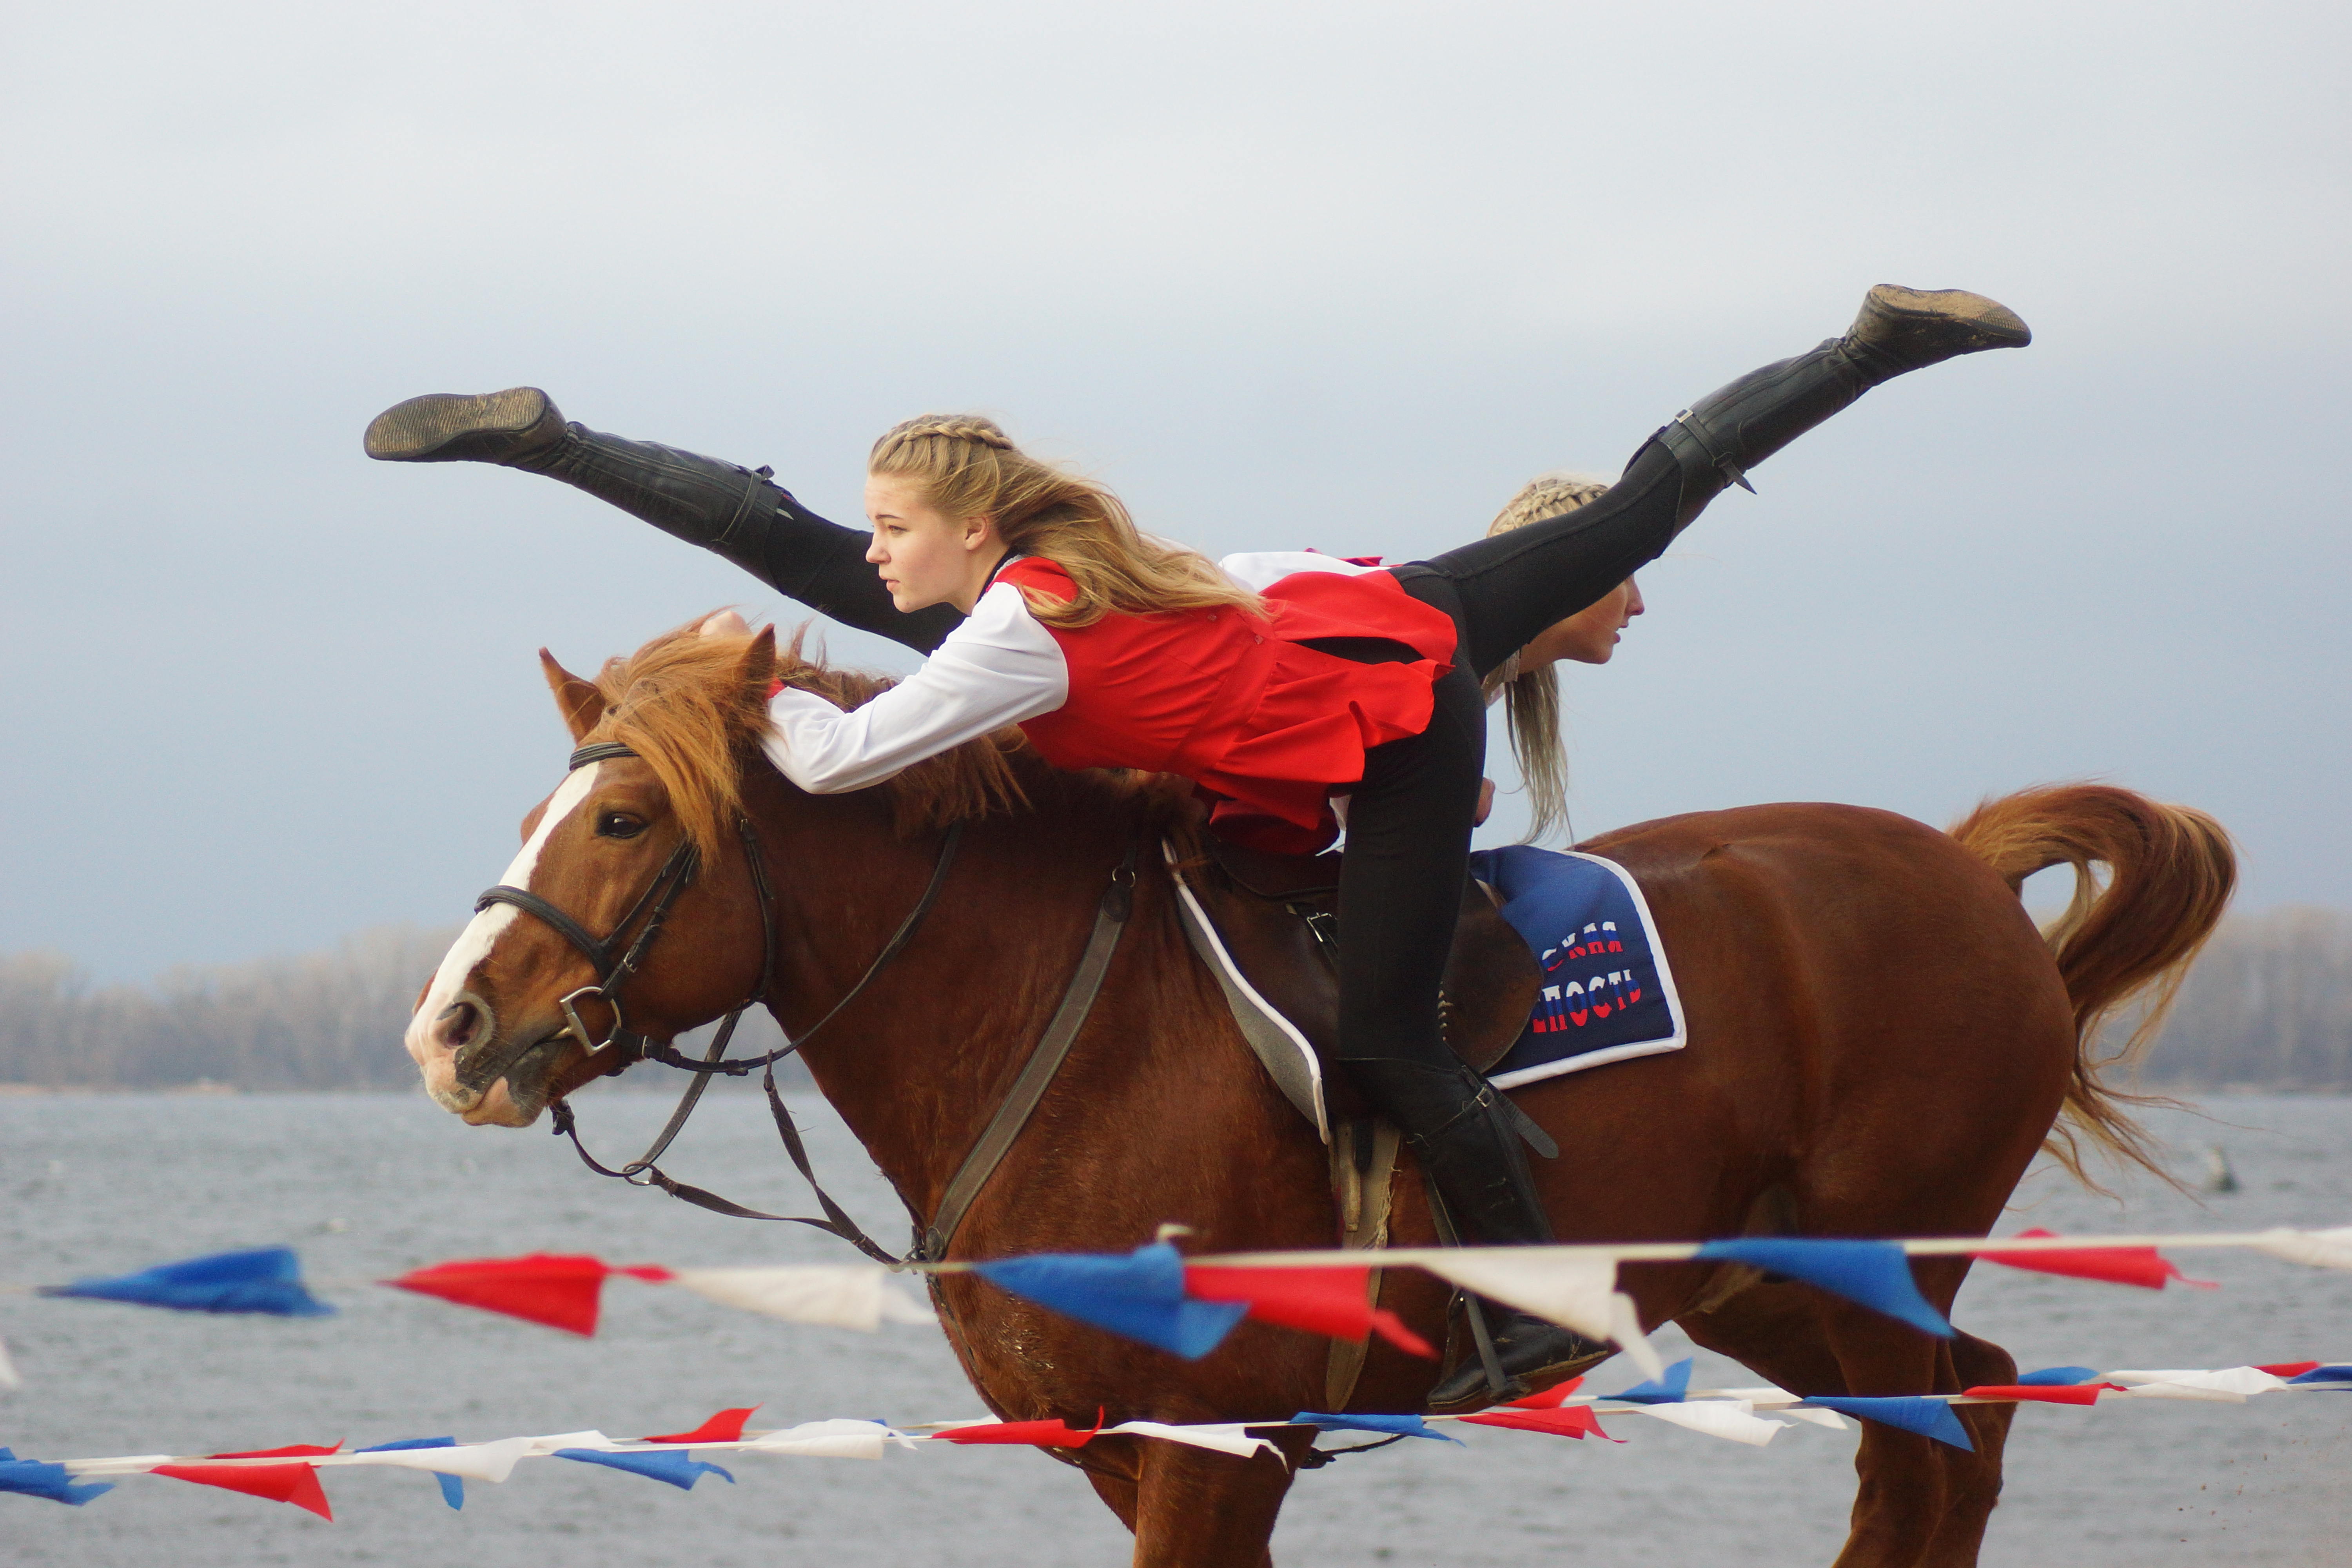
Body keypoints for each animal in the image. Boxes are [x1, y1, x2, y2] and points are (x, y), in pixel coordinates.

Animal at [405, 621, 2239, 1561]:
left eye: (623, 819)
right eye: (538, 807)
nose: (451, 1025)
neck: (1067, 1031)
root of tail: (1961, 865)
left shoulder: (1217, 1447)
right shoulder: (1129, 1451)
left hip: (1869, 1261)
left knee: (1929, 1446)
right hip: (1758, 1279)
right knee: (1965, 1413)